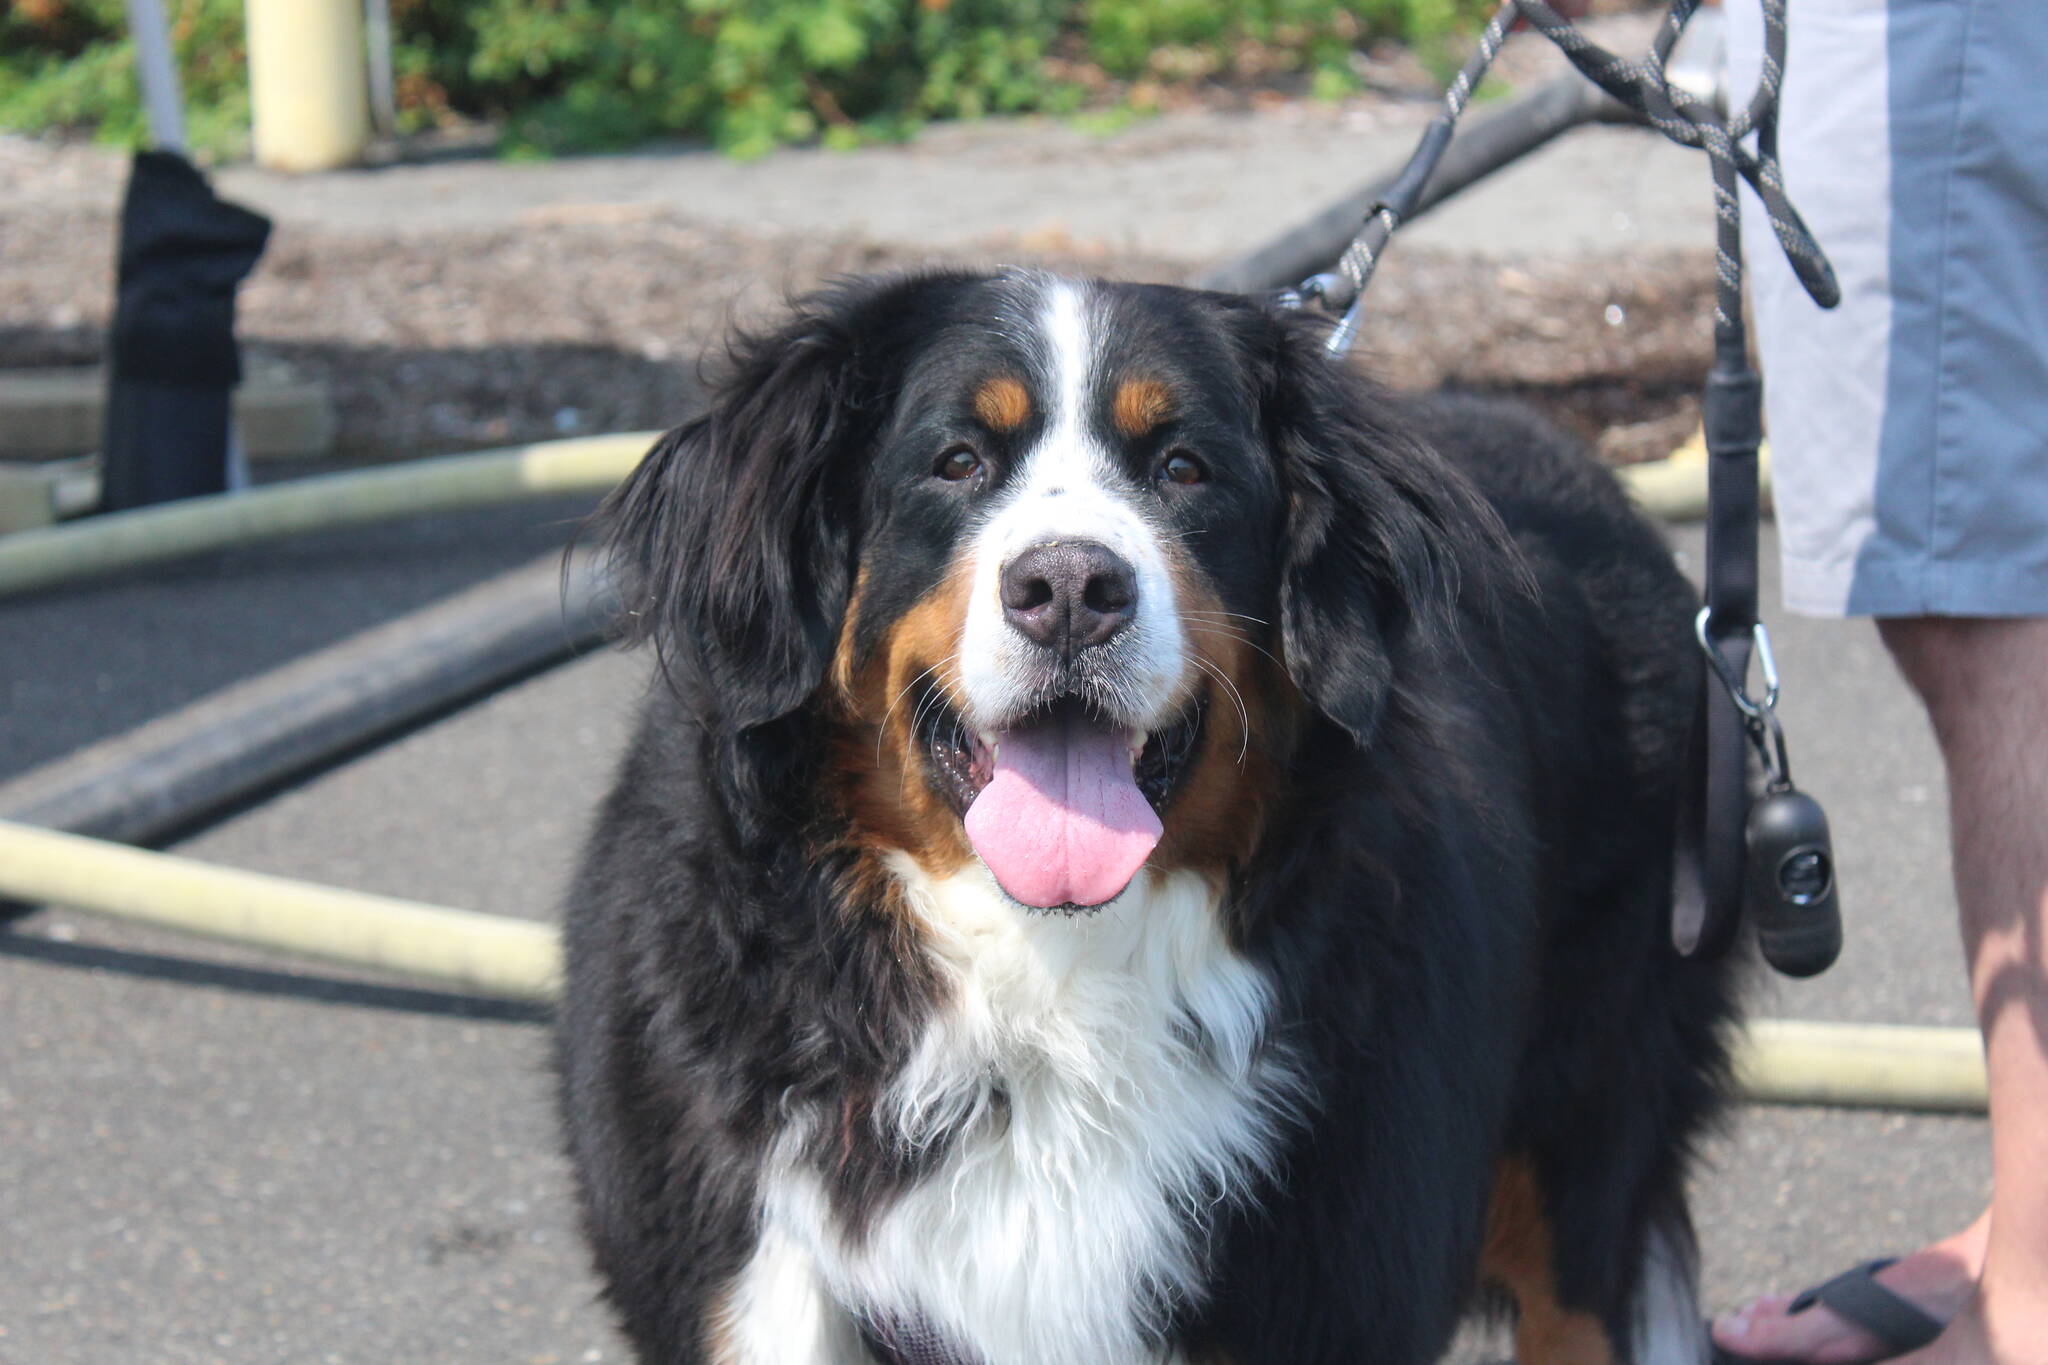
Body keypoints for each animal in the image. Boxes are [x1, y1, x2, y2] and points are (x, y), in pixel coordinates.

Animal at [557, 270, 1728, 1365]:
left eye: (1182, 469)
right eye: (957, 462)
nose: (1070, 587)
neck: (1049, 989)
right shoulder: (753, 1273)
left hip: (1584, 1118)